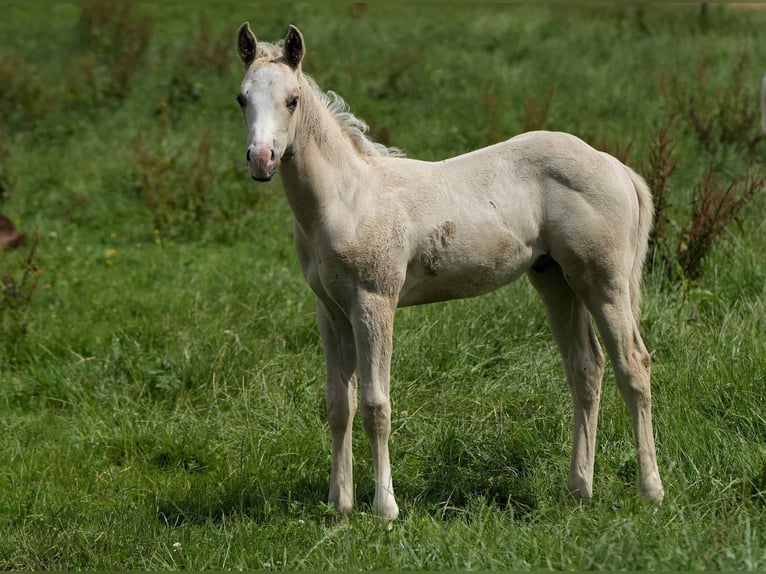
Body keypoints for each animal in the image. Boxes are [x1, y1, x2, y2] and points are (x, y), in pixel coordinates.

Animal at [236, 23, 664, 520]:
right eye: (242, 98)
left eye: (292, 100)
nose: (262, 159)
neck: (347, 199)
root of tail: (615, 165)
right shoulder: (331, 311)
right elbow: (338, 404)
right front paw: (338, 505)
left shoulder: (374, 302)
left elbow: (375, 406)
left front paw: (385, 509)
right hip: (555, 279)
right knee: (586, 369)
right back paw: (579, 489)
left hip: (604, 283)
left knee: (632, 365)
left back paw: (651, 490)